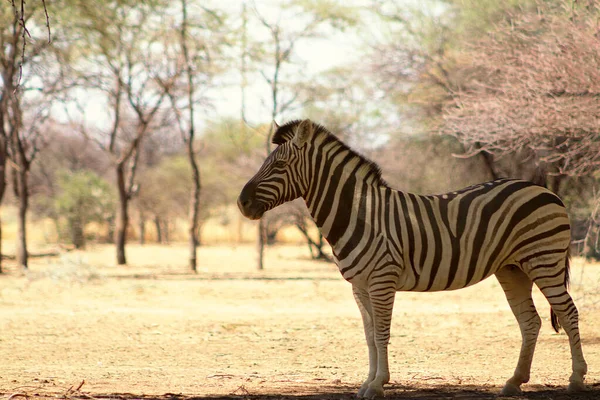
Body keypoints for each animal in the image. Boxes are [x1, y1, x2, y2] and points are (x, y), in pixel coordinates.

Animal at [237, 118, 588, 396]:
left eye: (279, 166)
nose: (242, 203)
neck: (360, 214)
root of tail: (547, 191)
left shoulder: (382, 279)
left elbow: (382, 333)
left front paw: (378, 384)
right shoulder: (359, 286)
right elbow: (369, 336)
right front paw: (367, 383)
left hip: (544, 260)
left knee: (568, 312)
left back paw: (576, 379)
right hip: (513, 268)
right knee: (531, 321)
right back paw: (514, 382)